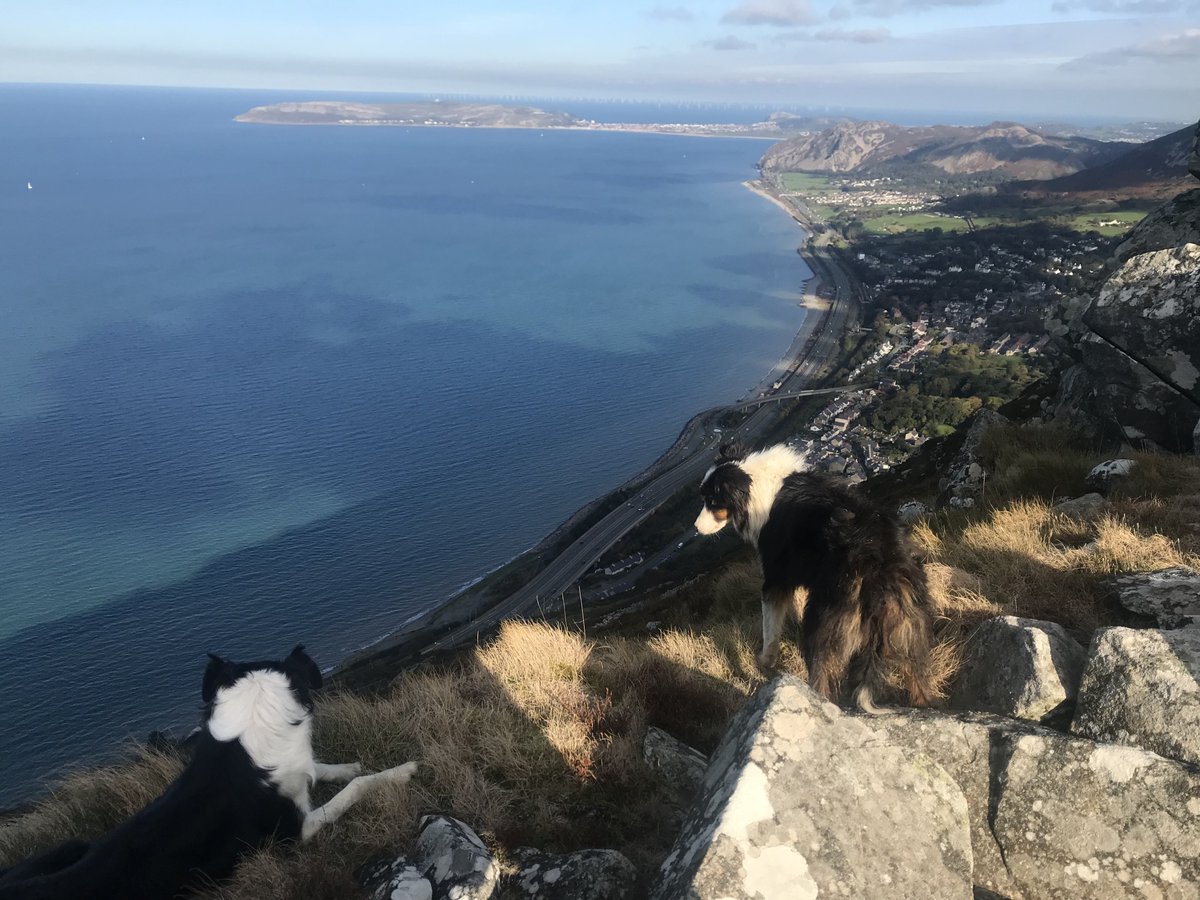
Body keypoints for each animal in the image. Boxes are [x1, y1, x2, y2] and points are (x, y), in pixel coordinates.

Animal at [0, 643, 417, 897]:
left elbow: (326, 770)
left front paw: (350, 764)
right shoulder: (294, 833)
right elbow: (356, 787)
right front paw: (399, 771)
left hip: (71, 845)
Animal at [696, 441, 936, 710]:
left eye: (712, 502)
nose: (696, 528)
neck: (753, 482)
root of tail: (878, 575)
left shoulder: (775, 579)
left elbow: (770, 627)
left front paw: (765, 661)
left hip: (822, 625)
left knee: (821, 676)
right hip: (910, 626)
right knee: (917, 680)